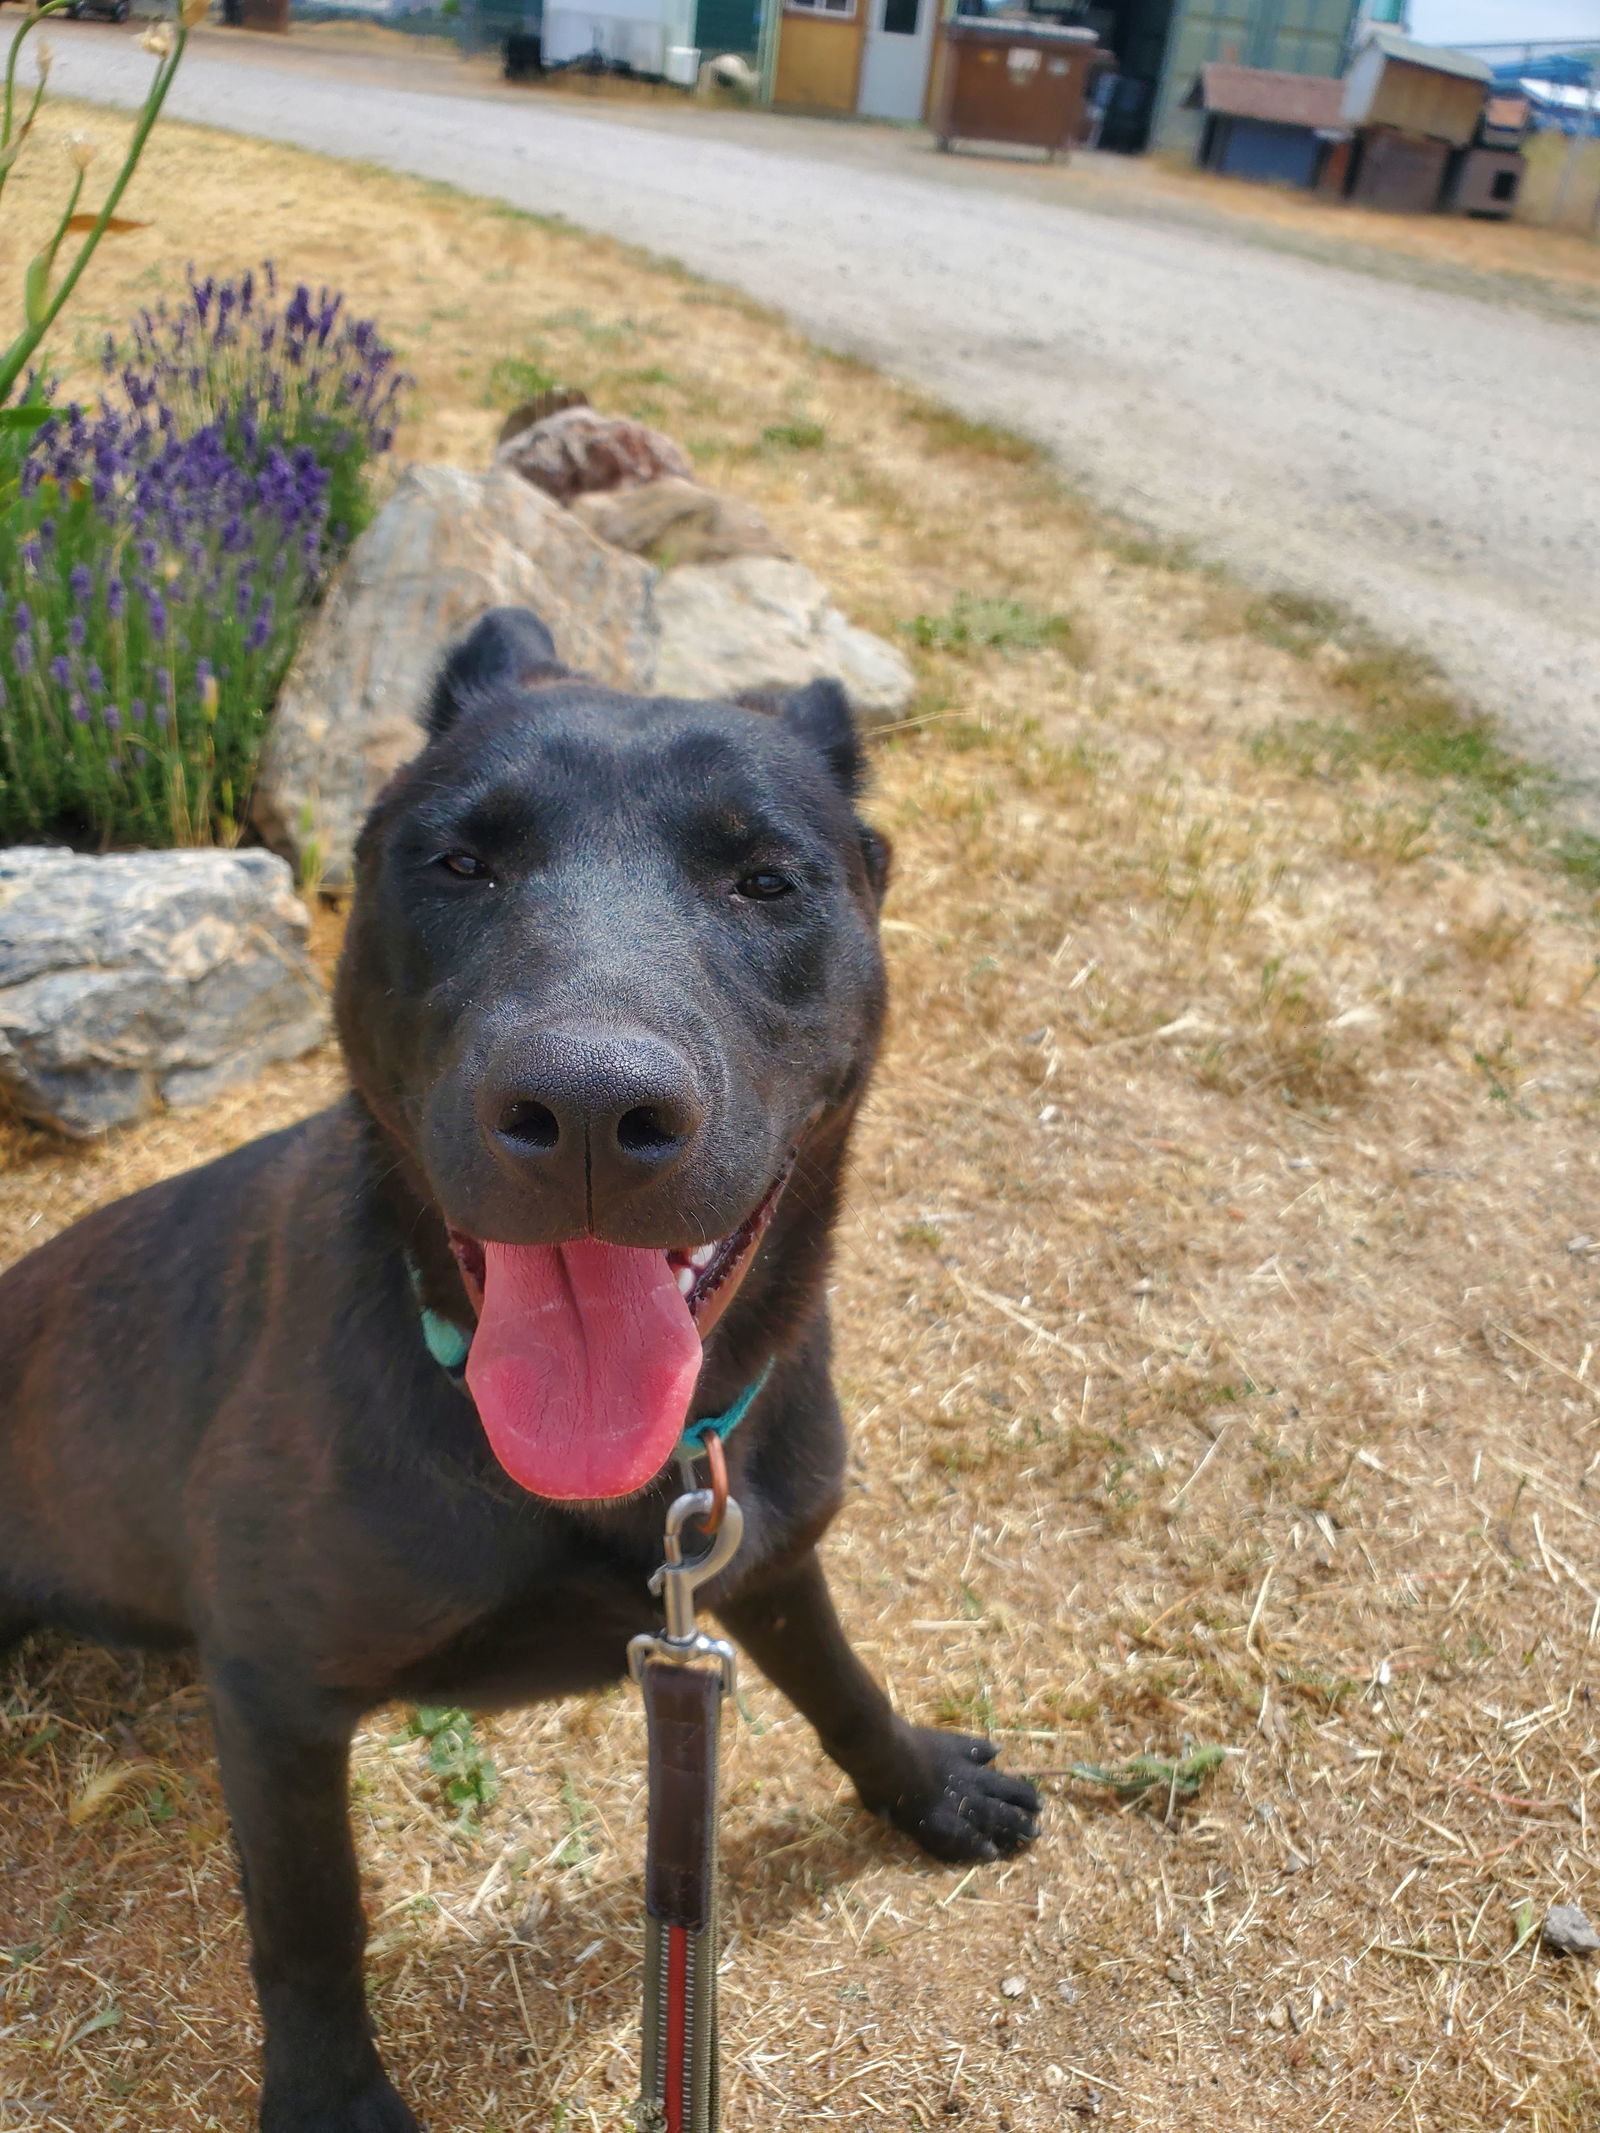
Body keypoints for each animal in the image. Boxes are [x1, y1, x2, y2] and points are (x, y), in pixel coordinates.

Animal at [0, 614, 1041, 2133]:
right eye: (457, 862)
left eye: (767, 878)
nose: (594, 1110)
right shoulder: (275, 1693)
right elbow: (310, 1921)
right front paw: (328, 2094)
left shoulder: (763, 1559)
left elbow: (840, 1681)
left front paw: (918, 1785)